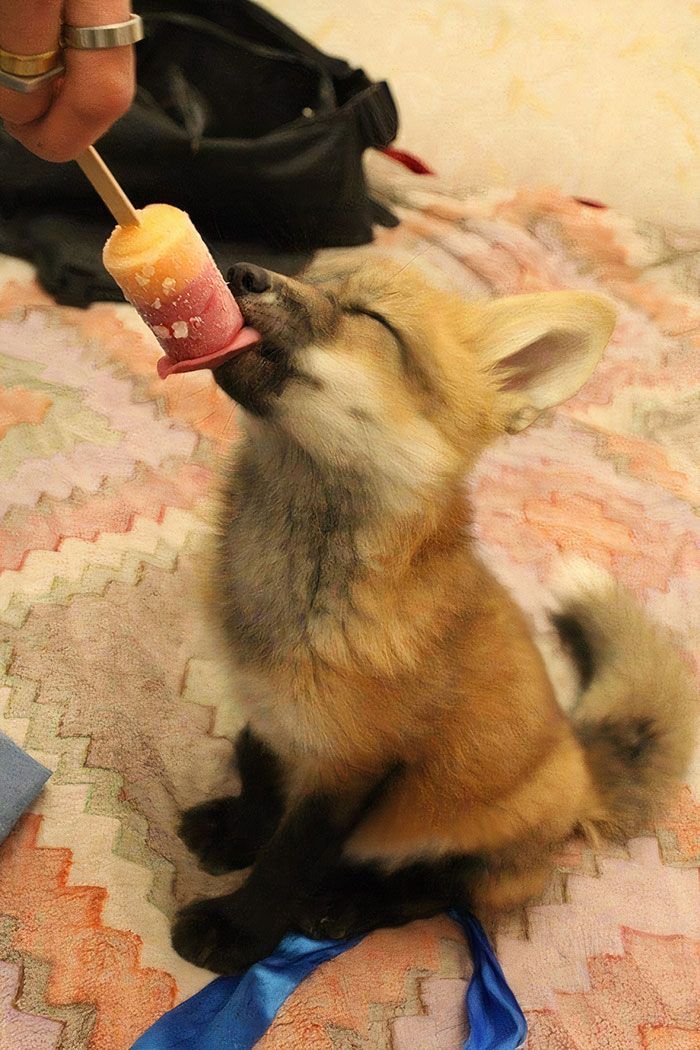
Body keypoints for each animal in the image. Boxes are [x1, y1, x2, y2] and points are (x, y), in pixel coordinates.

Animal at [172, 256, 697, 974]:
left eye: (372, 318)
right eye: (316, 275)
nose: (239, 271)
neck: (289, 599)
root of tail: (582, 765)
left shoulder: (353, 763)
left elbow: (288, 861)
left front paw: (239, 931)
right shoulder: (273, 715)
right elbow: (259, 776)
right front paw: (237, 832)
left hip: (476, 843)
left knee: (446, 892)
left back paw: (350, 902)